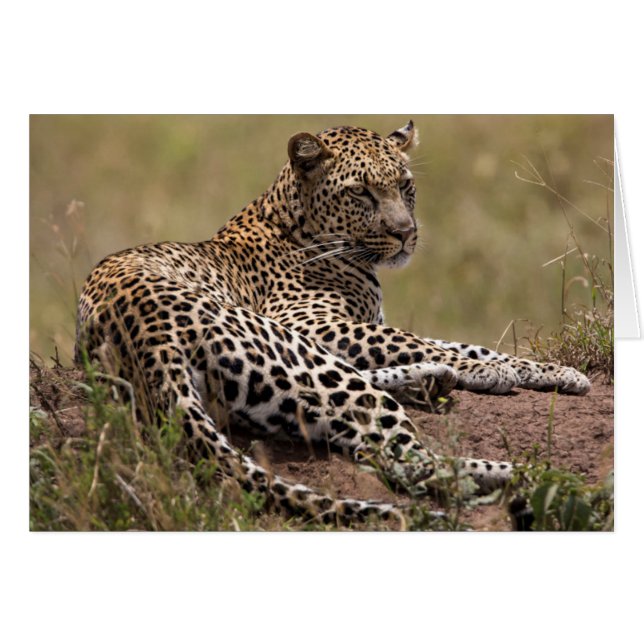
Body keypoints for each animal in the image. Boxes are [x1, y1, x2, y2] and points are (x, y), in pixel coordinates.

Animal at [75, 121, 591, 526]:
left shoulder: (351, 325)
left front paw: (552, 372)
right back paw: (529, 473)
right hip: (287, 346)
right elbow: (419, 340)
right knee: (408, 460)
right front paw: (497, 371)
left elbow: (458, 343)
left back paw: (433, 383)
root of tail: (146, 336)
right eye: (360, 191)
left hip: (275, 390)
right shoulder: (314, 323)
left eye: (405, 185)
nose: (406, 233)